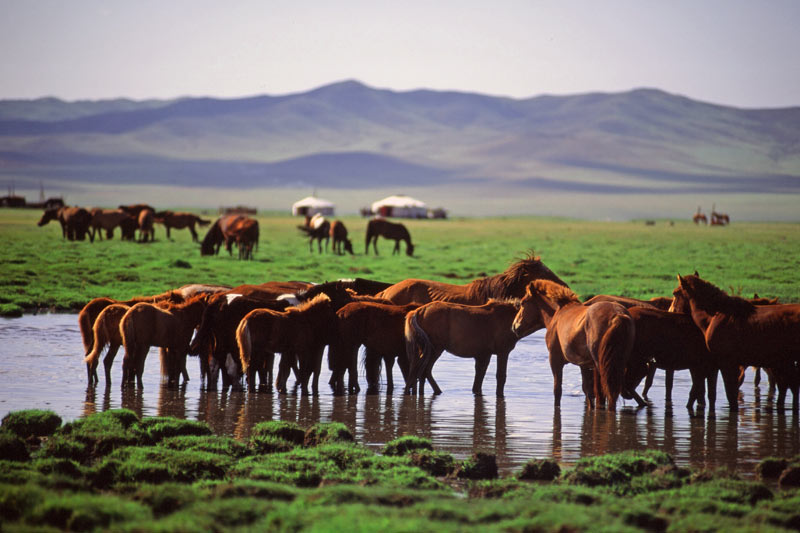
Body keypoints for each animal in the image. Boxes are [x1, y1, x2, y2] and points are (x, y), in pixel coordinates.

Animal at [404, 300, 540, 394]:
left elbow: (478, 381)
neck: (509, 318)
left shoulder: (483, 355)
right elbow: (500, 377)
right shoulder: (503, 351)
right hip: (435, 349)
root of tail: (418, 311)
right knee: (424, 370)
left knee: (416, 371)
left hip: (423, 349)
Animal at [512, 280, 636, 410]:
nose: (514, 326)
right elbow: (587, 391)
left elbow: (557, 390)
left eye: (523, 303)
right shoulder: (584, 365)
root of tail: (618, 315)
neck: (559, 312)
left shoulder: (555, 360)